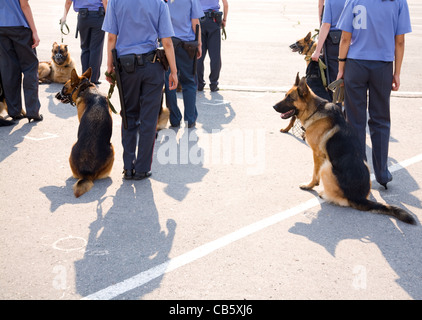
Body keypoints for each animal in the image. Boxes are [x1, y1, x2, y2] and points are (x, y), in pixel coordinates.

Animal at [274, 74, 416, 226]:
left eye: (290, 98)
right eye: (285, 95)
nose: (273, 106)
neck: (315, 110)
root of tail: (360, 198)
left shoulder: (317, 155)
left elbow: (314, 174)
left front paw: (309, 185)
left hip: (327, 167)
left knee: (340, 200)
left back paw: (324, 194)